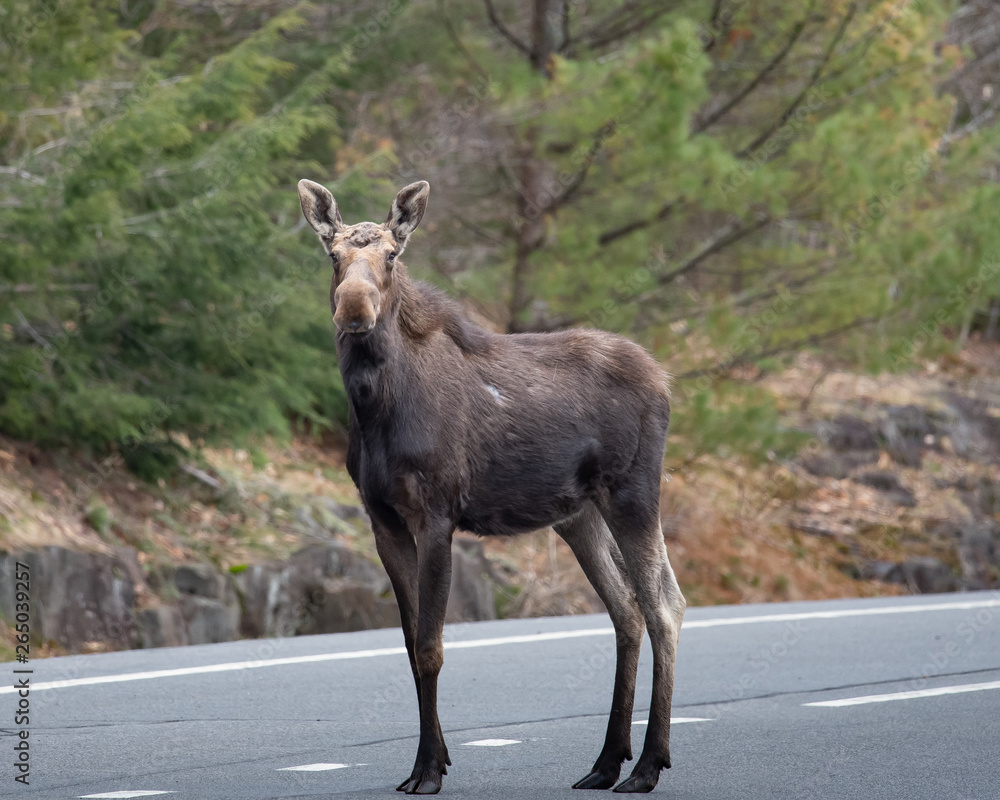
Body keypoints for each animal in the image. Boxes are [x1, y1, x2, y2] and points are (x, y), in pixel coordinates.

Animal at [297, 178, 686, 794]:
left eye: (392, 255)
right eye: (333, 255)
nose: (354, 309)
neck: (373, 408)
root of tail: (664, 379)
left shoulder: (436, 514)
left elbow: (430, 647)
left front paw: (428, 770)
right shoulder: (383, 519)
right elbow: (408, 642)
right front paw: (432, 759)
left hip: (634, 494)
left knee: (665, 606)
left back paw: (647, 765)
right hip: (580, 515)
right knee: (626, 608)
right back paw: (606, 762)